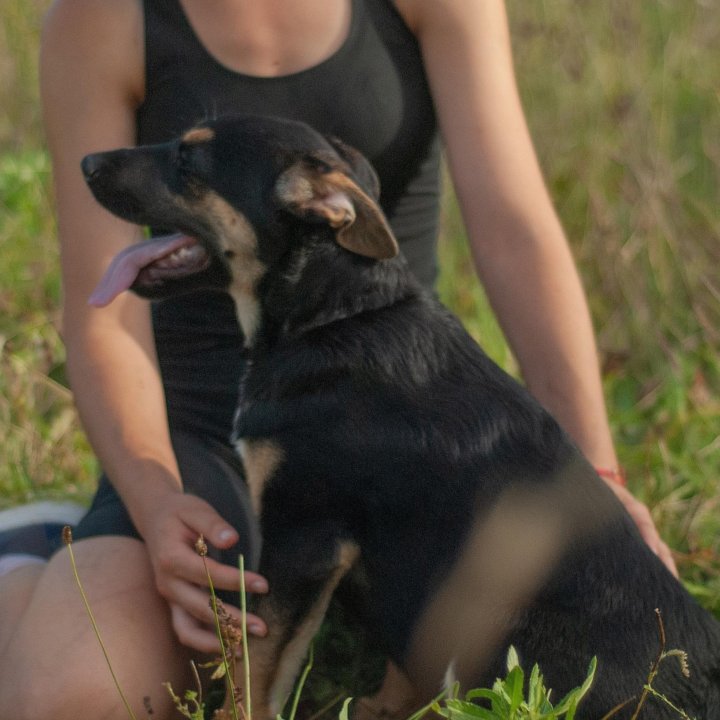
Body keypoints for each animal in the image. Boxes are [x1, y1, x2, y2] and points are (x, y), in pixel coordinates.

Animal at [80, 115, 720, 716]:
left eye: (189, 160)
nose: (85, 162)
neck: (337, 315)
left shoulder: (302, 539)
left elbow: (253, 672)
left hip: (498, 632)